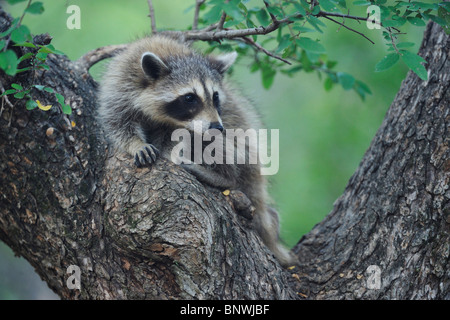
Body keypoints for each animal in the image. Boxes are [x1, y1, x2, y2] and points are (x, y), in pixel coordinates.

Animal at [98, 34, 294, 268]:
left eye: (216, 96)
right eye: (190, 97)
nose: (217, 126)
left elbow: (180, 139)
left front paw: (171, 154)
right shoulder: (119, 88)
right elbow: (117, 124)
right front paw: (136, 144)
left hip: (243, 155)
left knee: (219, 147)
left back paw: (222, 176)